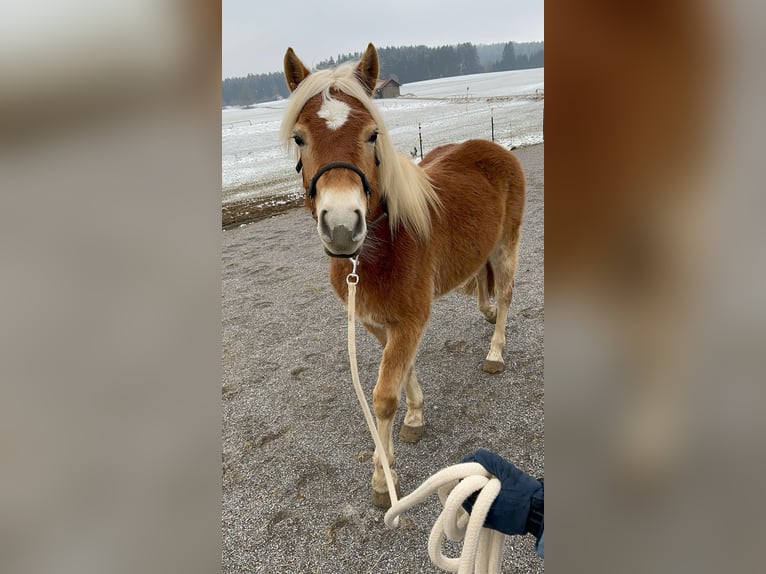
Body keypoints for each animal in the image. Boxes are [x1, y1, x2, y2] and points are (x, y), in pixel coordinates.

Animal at [282, 42, 528, 508]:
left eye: (372, 134)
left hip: (507, 245)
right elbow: (403, 370)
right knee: (483, 285)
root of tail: (496, 148)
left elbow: (383, 397)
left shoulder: (409, 319)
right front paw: (414, 417)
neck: (381, 249)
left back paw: (495, 351)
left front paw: (383, 478)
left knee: (505, 294)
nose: (342, 227)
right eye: (299, 138)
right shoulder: (380, 322)